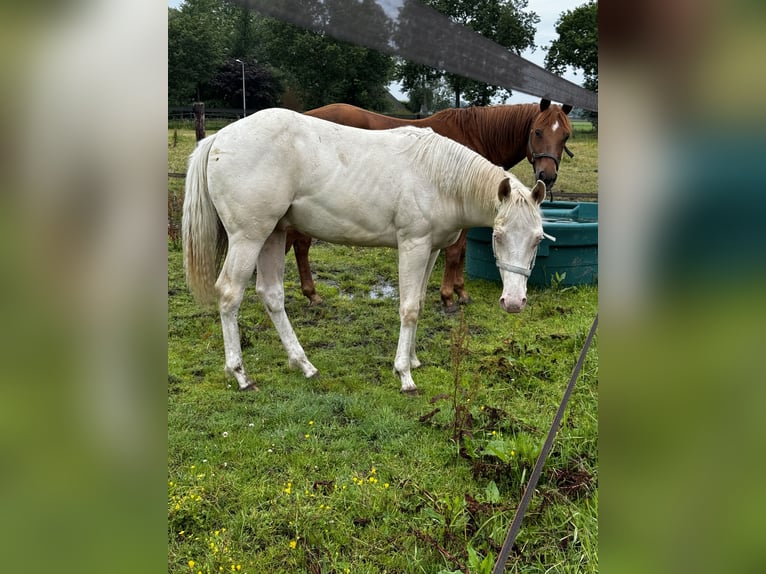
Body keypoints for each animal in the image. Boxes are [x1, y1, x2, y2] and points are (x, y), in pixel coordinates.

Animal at [183, 108, 548, 396]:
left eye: (537, 239)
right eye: (497, 236)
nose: (514, 302)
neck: (438, 176)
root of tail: (218, 138)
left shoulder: (431, 250)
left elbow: (419, 303)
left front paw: (413, 359)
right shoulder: (413, 245)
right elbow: (408, 308)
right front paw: (404, 374)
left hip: (272, 233)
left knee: (272, 295)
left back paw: (304, 364)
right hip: (249, 237)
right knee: (229, 293)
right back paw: (241, 375)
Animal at [284, 101, 572, 312]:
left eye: (565, 136)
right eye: (537, 131)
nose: (547, 176)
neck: (474, 137)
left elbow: (461, 252)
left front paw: (460, 292)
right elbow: (455, 253)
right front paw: (448, 297)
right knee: (301, 245)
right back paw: (311, 294)